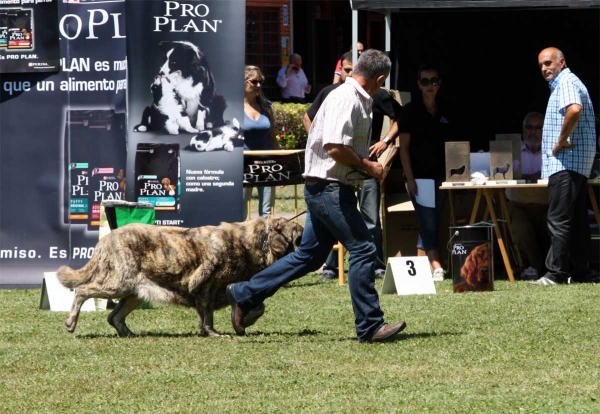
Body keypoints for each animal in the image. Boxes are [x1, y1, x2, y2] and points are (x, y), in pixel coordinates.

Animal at [56, 217, 302, 336]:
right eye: (298, 233)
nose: (305, 234)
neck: (248, 242)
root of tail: (106, 239)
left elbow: (257, 303)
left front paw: (245, 320)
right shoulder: (206, 286)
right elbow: (207, 314)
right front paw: (212, 332)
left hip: (136, 291)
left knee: (114, 316)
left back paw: (129, 333)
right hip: (118, 284)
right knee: (83, 291)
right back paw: (70, 322)